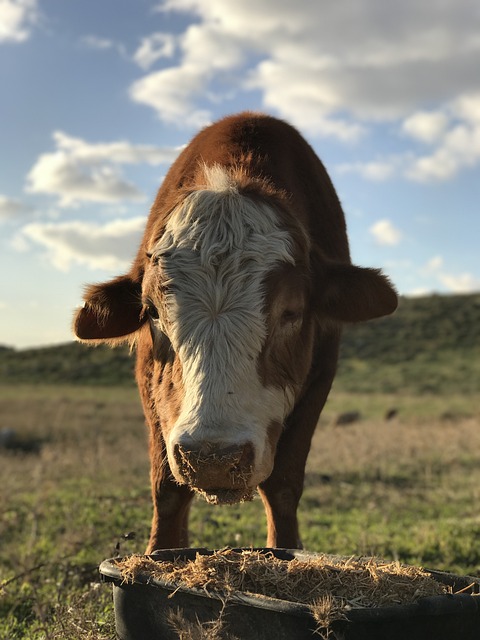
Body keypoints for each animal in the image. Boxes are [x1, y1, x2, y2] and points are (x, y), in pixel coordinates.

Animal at [74, 112, 398, 552]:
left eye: (291, 312)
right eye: (153, 312)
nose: (212, 458)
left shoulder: (320, 375)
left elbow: (282, 486)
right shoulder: (148, 377)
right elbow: (167, 489)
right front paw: (160, 553)